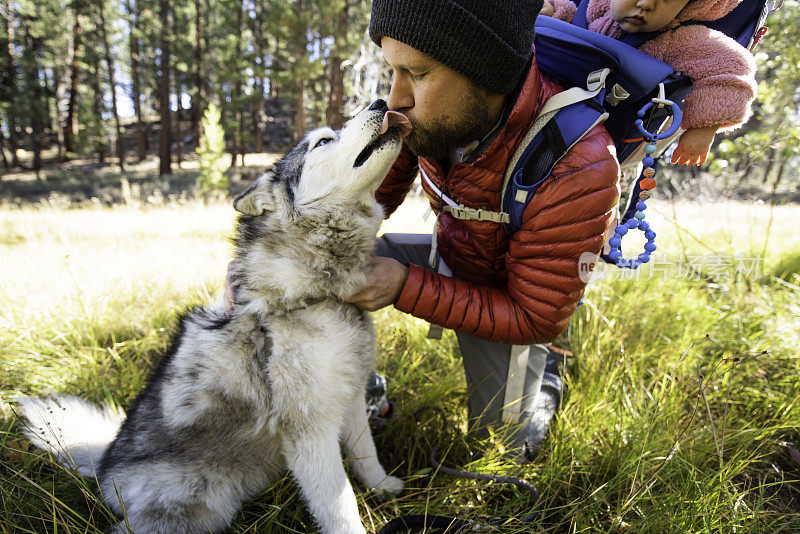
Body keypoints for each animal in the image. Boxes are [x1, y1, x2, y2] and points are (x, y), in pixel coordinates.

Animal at [17, 101, 412, 534]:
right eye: (323, 141)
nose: (380, 102)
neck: (314, 291)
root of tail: (106, 469)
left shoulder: (352, 397)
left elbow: (365, 452)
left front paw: (383, 487)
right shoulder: (311, 431)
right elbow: (341, 507)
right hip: (202, 502)